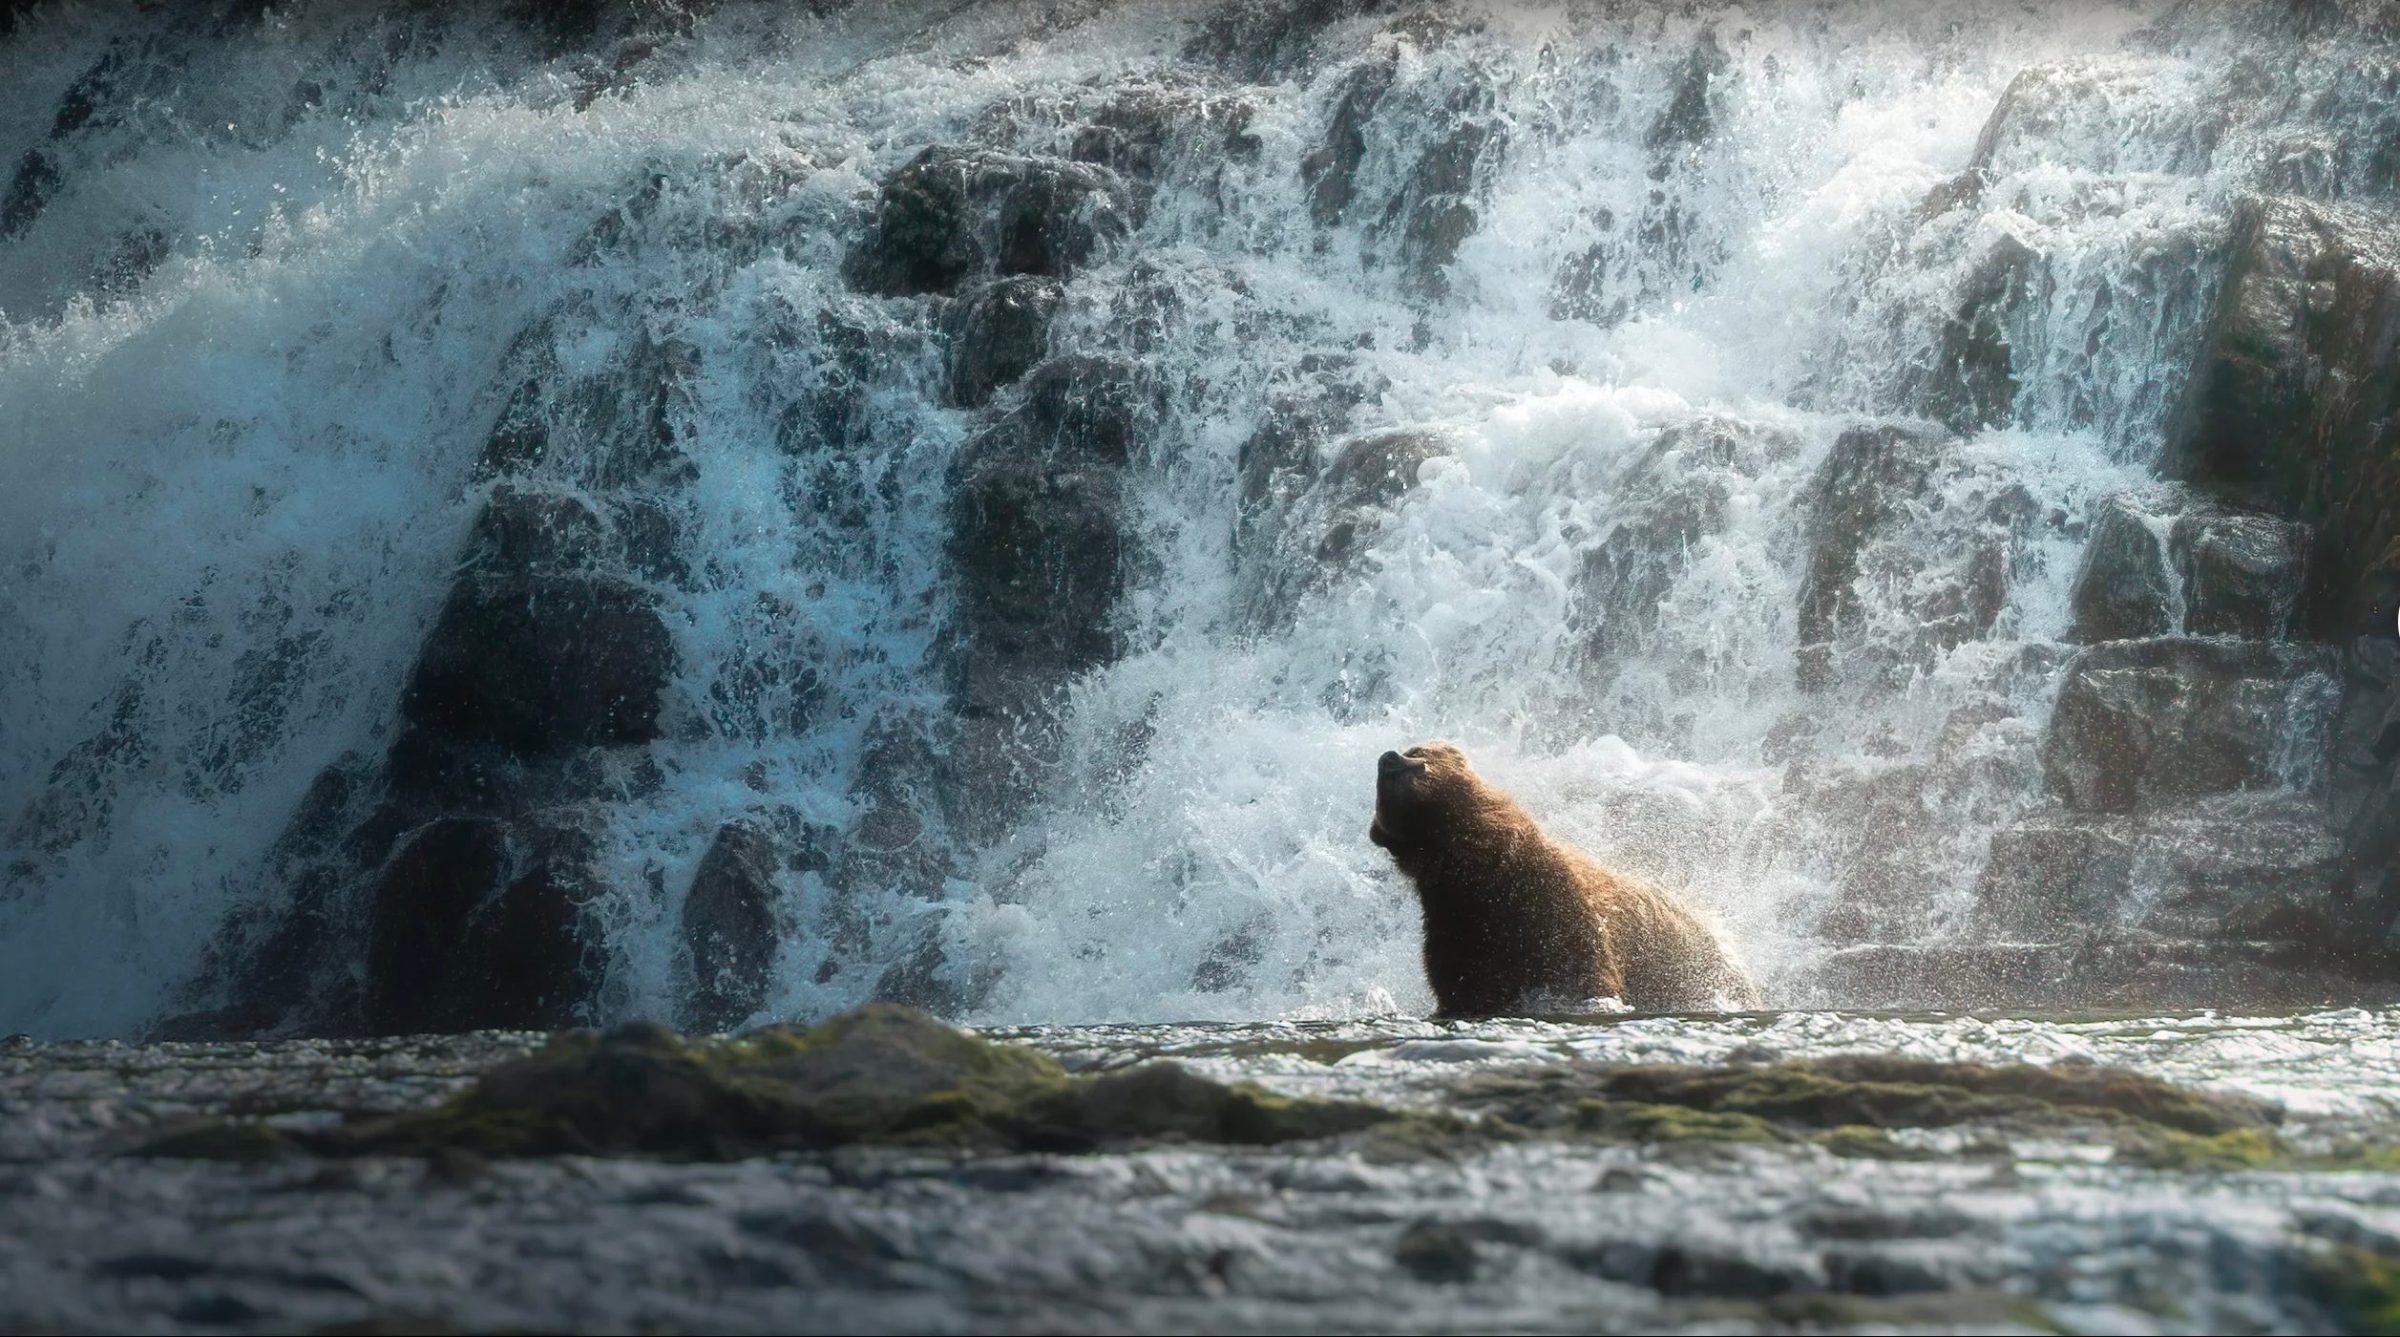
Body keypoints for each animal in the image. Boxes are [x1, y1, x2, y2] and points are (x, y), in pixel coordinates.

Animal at [1369, 740, 1762, 1016]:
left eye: (1419, 753)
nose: (1388, 758)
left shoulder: (1560, 913)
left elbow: (1587, 975)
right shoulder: (1459, 930)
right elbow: (1463, 985)